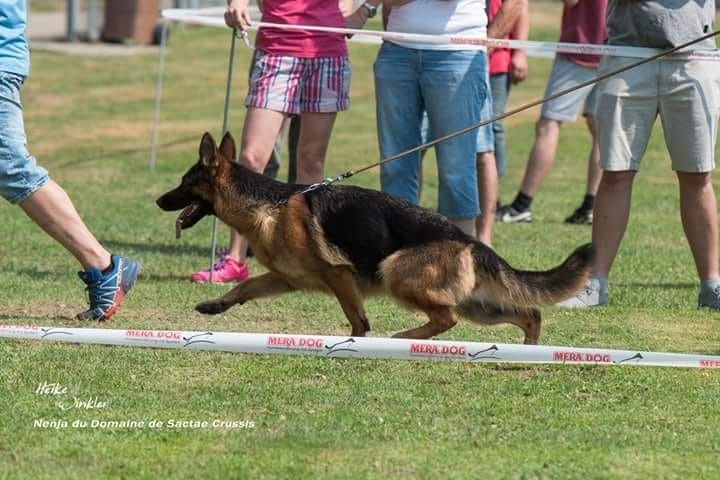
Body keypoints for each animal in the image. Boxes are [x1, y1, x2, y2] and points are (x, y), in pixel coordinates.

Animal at [160, 133, 592, 344]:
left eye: (182, 183)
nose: (158, 200)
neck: (270, 205)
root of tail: (468, 240)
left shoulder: (338, 275)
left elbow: (357, 319)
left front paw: (358, 345)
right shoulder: (285, 278)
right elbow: (245, 287)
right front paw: (215, 305)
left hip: (396, 272)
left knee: (447, 318)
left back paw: (405, 338)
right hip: (479, 306)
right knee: (529, 314)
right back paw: (531, 349)